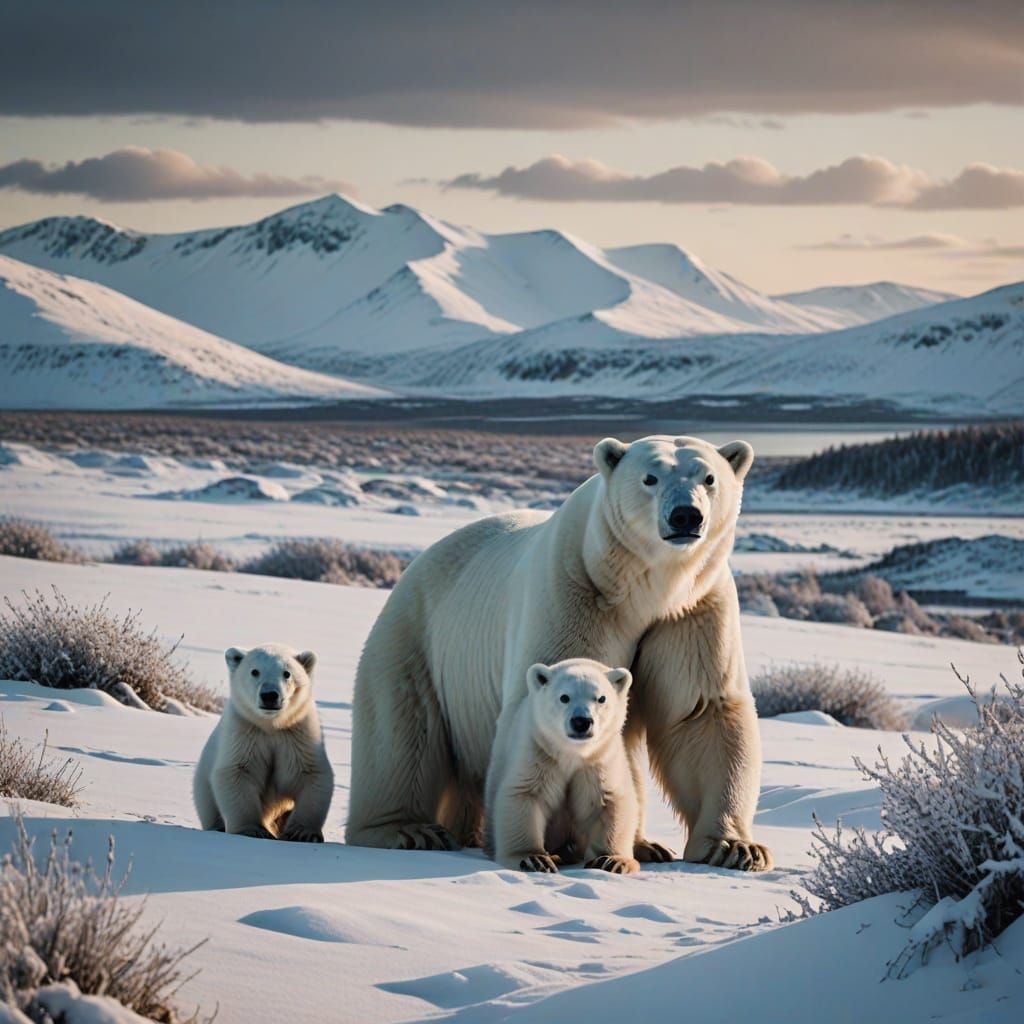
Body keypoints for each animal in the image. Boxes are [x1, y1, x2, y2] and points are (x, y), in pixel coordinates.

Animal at [193, 644, 333, 841]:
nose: (269, 695)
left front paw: (301, 832)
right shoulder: (245, 732)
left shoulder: (297, 734)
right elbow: (237, 771)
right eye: (255, 671)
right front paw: (253, 830)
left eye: (287, 673)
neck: (271, 725)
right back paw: (217, 827)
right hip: (203, 787)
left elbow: (311, 773)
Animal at [485, 658, 639, 875]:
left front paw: (611, 861)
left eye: (601, 698)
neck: (572, 753)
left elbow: (609, 802)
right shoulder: (538, 753)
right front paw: (533, 859)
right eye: (564, 697)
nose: (581, 721)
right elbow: (524, 794)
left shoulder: (598, 762)